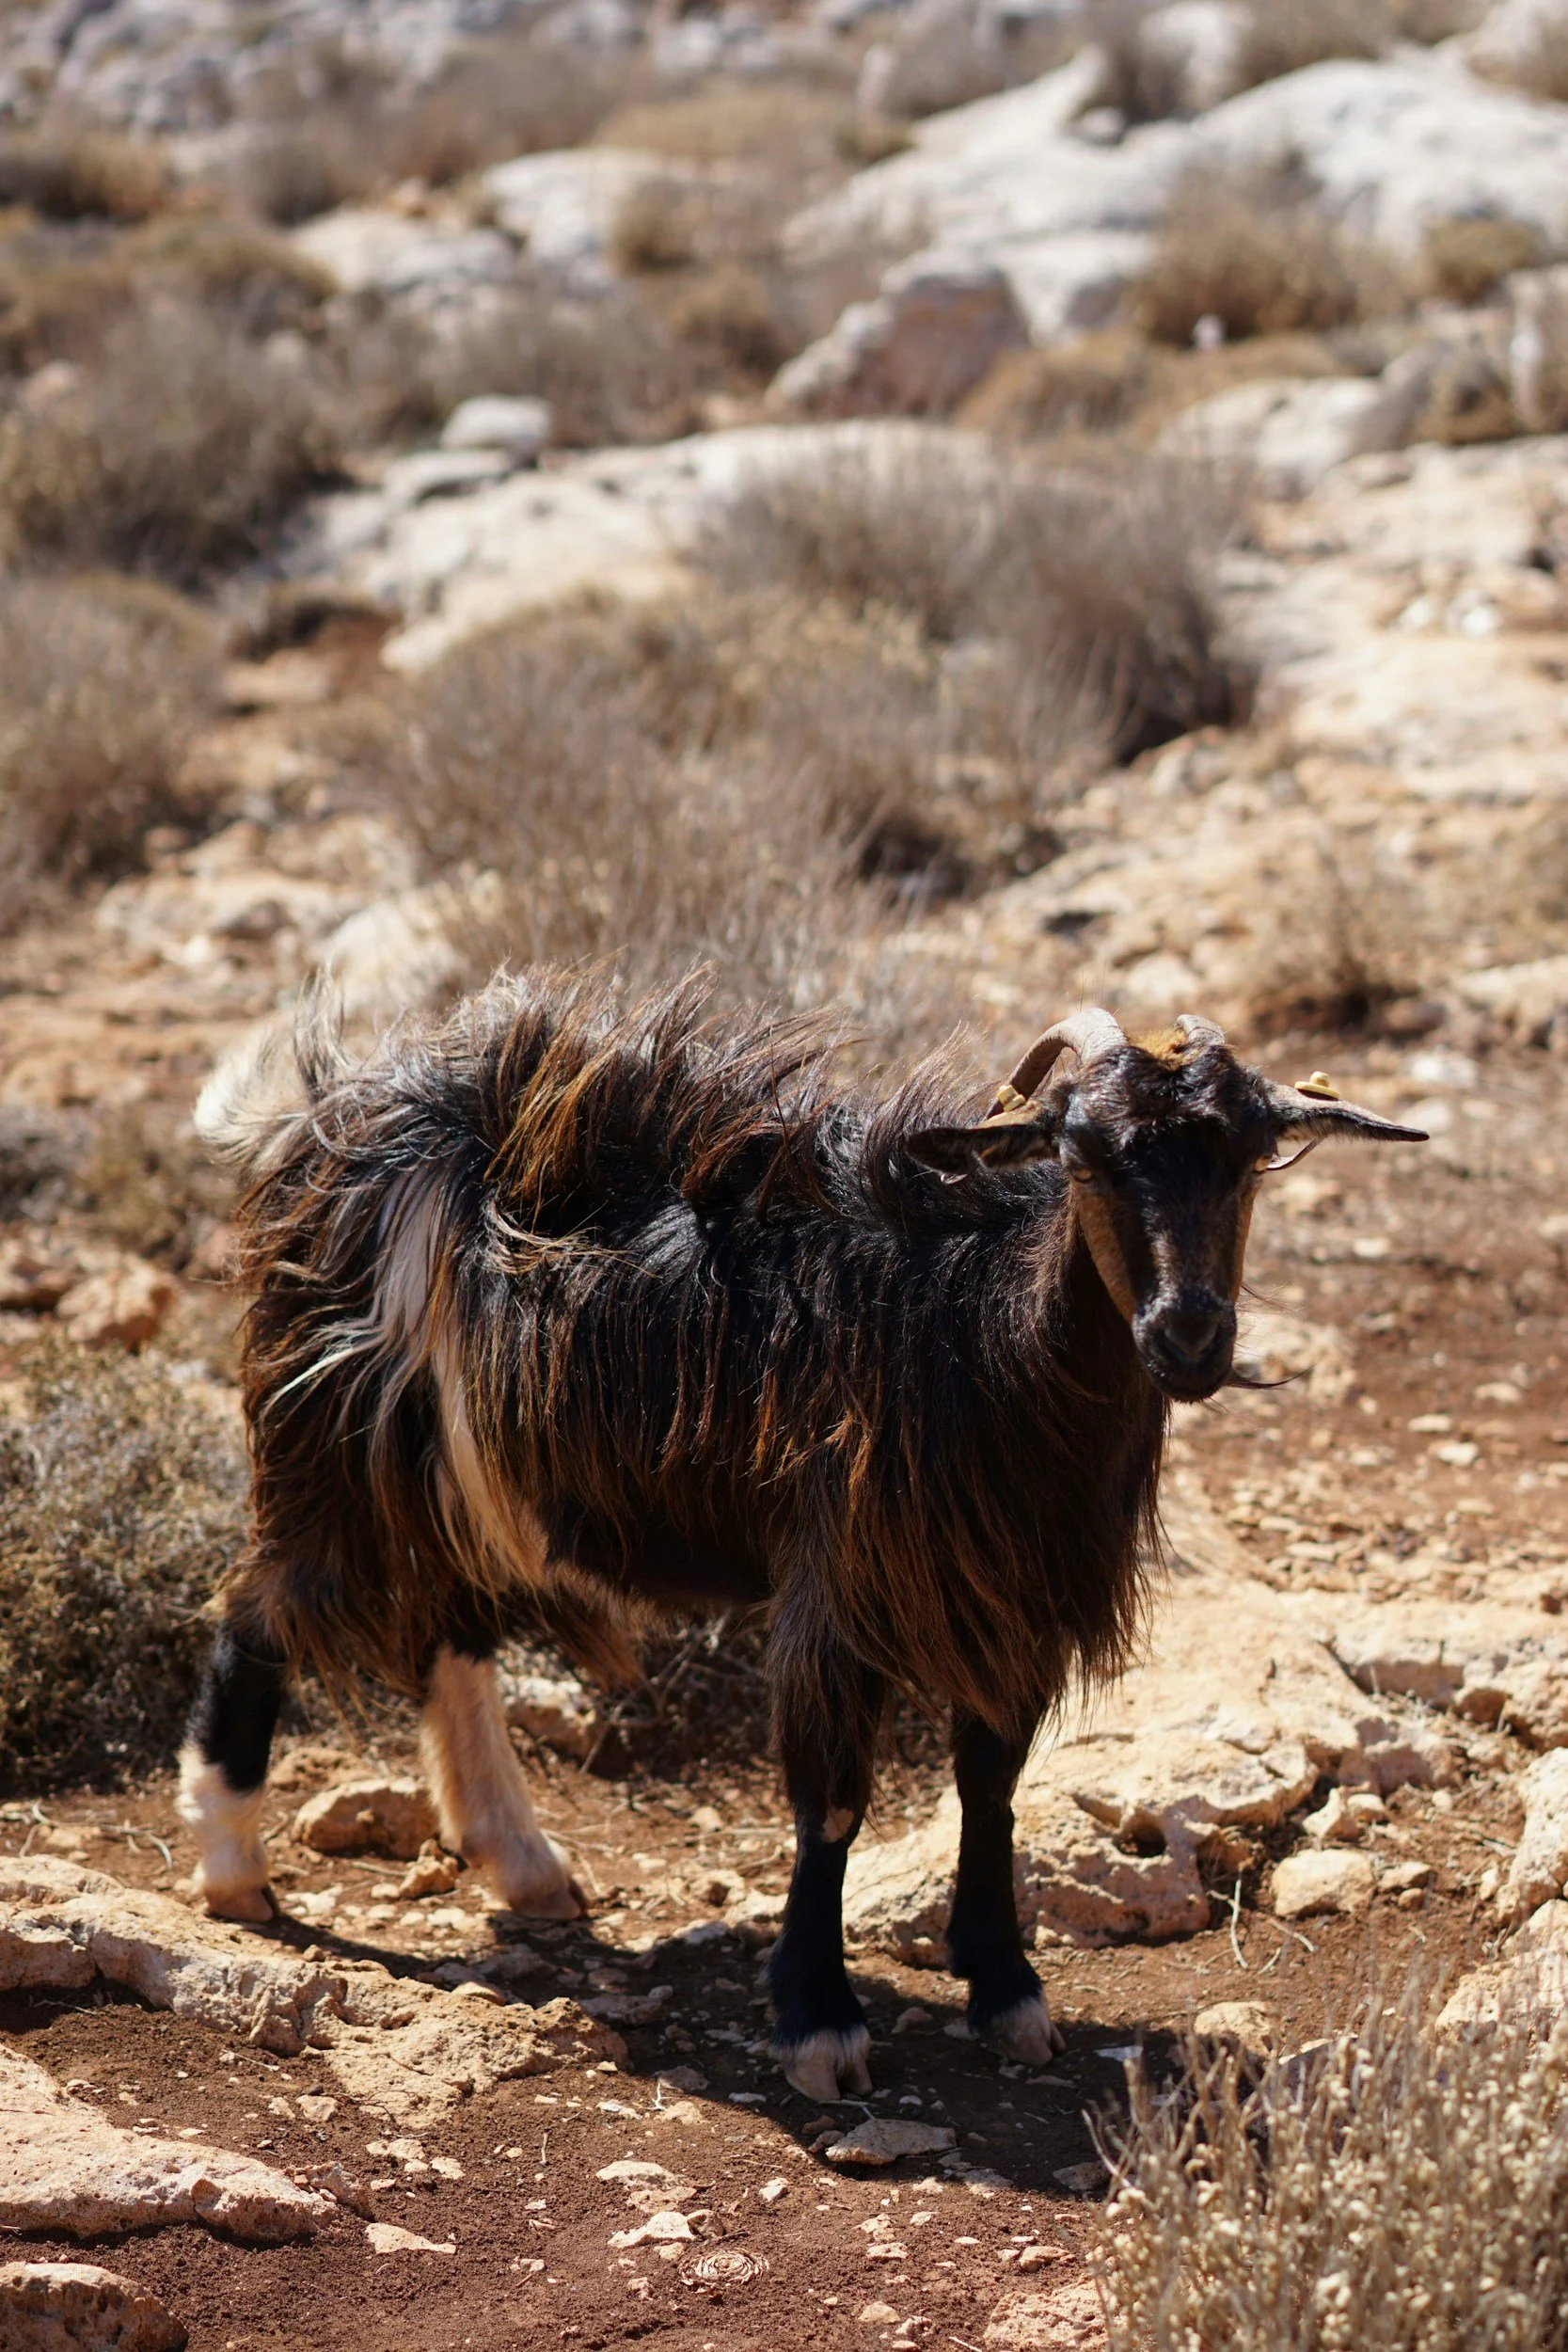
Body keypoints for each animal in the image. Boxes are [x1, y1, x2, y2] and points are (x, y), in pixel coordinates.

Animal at [179, 974, 1424, 2101]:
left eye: (1249, 1155)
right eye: (1078, 1152)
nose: (1187, 1336)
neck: (975, 1332)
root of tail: (327, 1125)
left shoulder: (1007, 1596)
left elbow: (991, 1784)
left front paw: (1005, 1987)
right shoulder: (845, 1588)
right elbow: (832, 1802)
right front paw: (819, 2020)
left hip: (461, 1474)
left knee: (451, 1633)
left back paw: (523, 1865)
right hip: (335, 1447)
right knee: (255, 1614)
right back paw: (235, 1872)